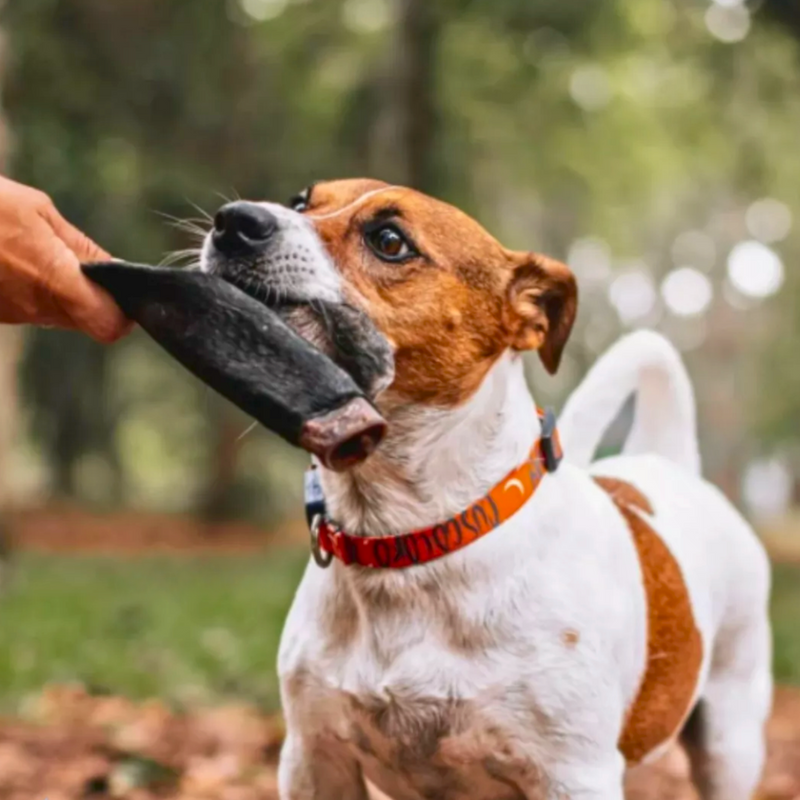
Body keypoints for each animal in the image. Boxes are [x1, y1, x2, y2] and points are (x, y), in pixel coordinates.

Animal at [198, 181, 768, 800]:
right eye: (301, 202)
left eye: (389, 241)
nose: (233, 220)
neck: (410, 542)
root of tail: (666, 461)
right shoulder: (314, 757)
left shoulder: (574, 775)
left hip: (728, 738)